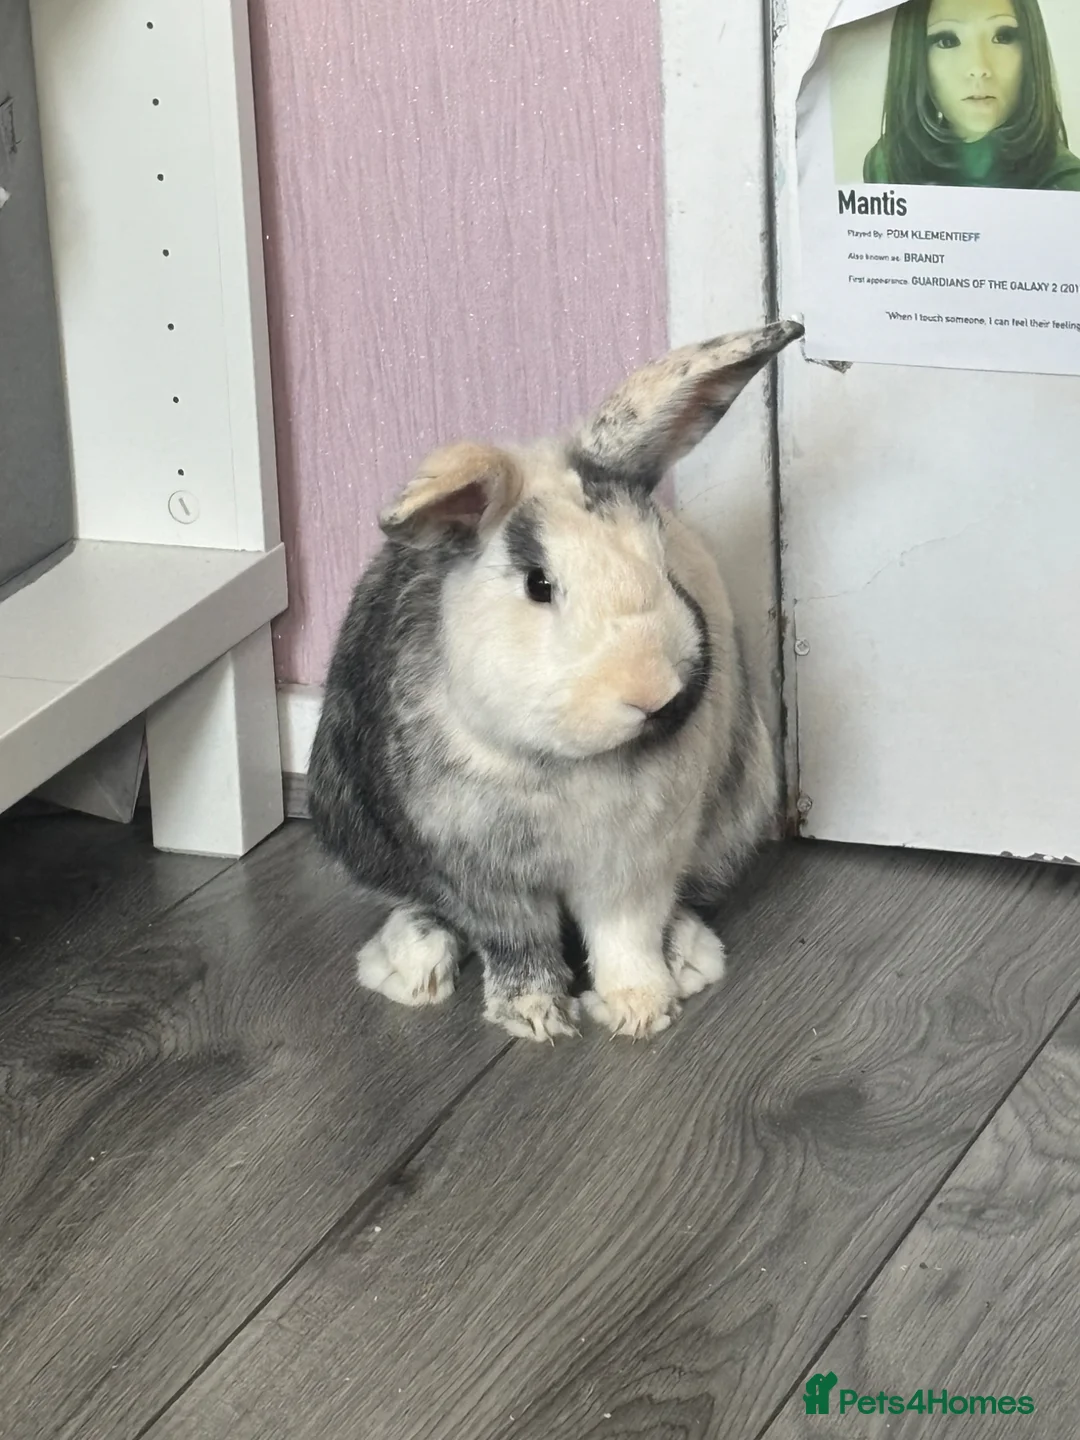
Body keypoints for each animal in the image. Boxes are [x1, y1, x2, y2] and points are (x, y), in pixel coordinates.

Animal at [307, 319, 804, 1042]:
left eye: (663, 565)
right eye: (540, 585)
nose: (652, 691)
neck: (571, 765)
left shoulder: (639, 863)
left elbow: (627, 934)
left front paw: (641, 1009)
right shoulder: (482, 873)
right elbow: (516, 943)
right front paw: (535, 1017)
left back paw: (687, 956)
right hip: (351, 822)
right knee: (422, 906)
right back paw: (411, 966)